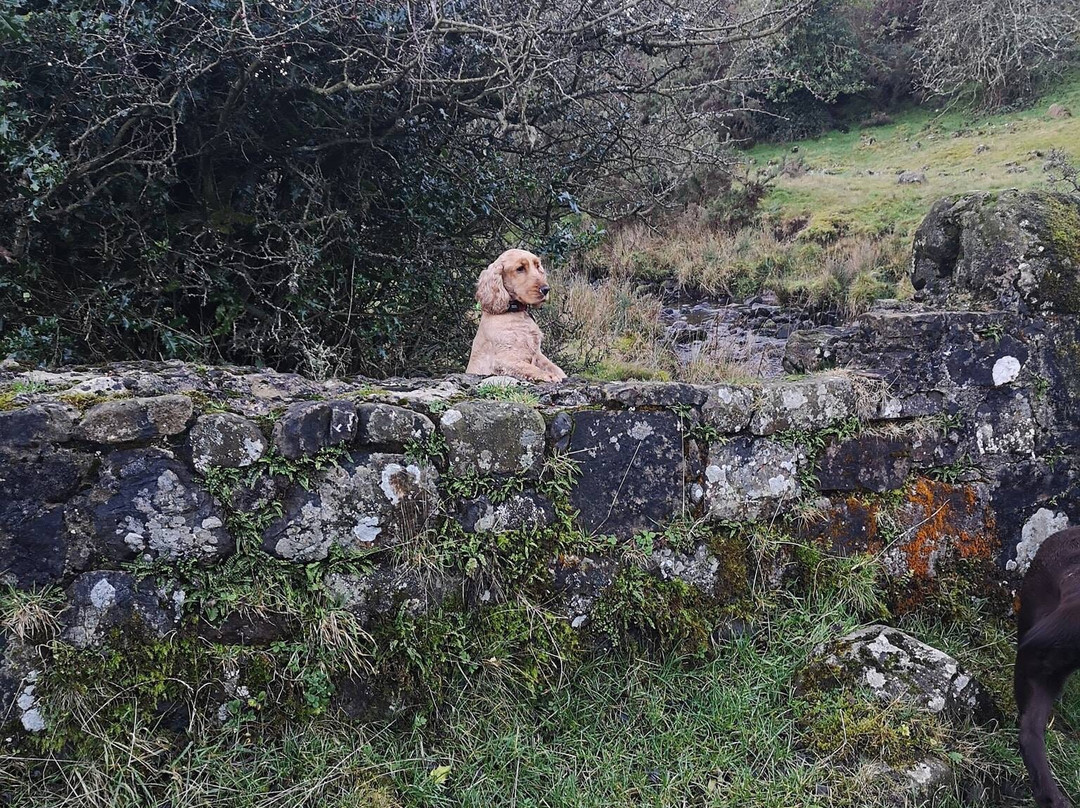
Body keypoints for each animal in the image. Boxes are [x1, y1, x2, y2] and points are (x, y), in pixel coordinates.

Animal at [464, 247, 565, 384]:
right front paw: (549, 376)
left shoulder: (537, 353)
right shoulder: (504, 358)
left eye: (537, 266)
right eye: (520, 268)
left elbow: (555, 367)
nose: (546, 289)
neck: (515, 312)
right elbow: (528, 367)